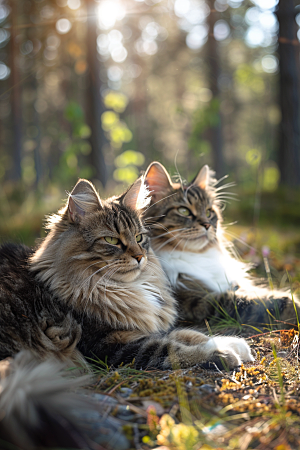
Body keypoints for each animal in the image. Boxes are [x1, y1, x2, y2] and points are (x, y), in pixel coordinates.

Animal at [0, 174, 253, 370]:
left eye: (139, 237)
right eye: (112, 240)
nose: (140, 257)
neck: (125, 289)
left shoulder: (141, 328)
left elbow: (189, 334)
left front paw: (235, 344)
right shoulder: (112, 344)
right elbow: (173, 349)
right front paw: (223, 354)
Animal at [144, 162, 300, 330]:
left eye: (209, 212)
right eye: (183, 211)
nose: (207, 225)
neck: (195, 256)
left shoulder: (232, 284)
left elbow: (256, 291)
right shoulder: (193, 300)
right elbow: (256, 303)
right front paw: (294, 305)